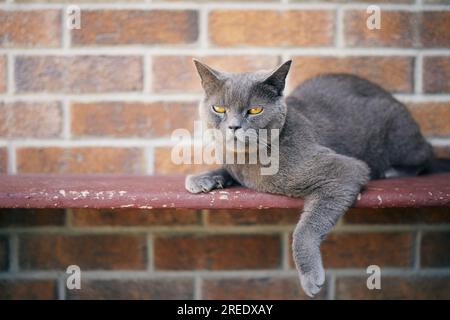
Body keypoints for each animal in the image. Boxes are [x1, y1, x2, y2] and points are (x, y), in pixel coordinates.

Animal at [185, 60, 448, 298]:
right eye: (219, 109)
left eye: (255, 110)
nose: (233, 127)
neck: (248, 161)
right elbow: (226, 169)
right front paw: (201, 179)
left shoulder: (345, 170)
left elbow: (305, 229)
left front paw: (311, 278)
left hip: (397, 131)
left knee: (426, 155)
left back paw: (394, 171)